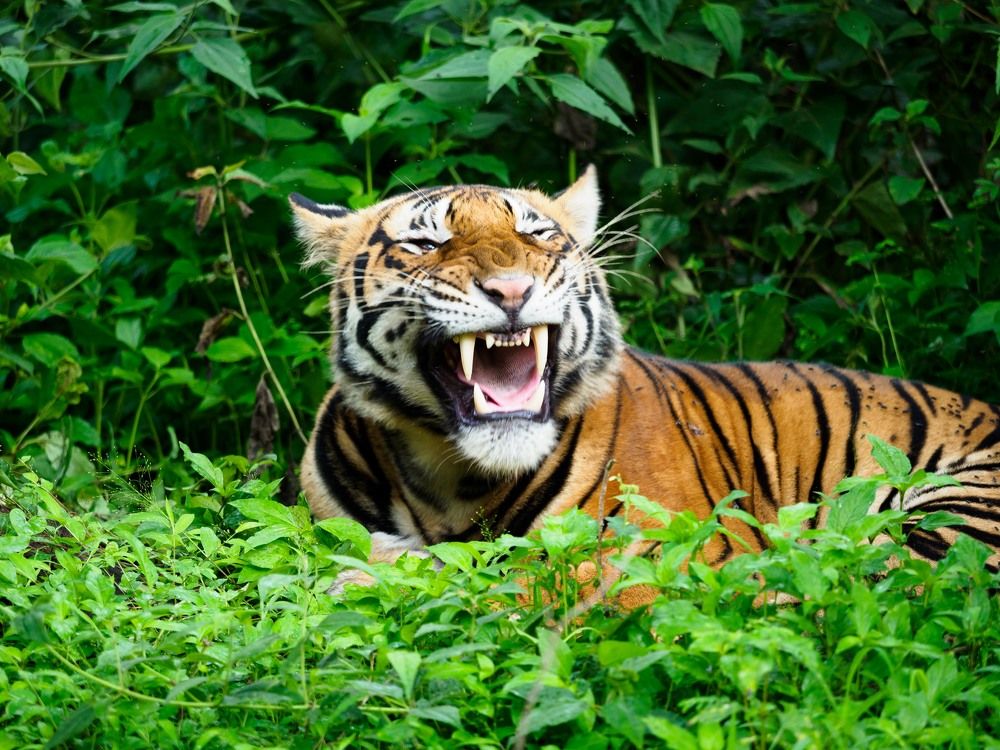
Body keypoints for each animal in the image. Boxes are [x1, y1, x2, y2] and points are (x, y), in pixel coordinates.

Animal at [289, 166, 1000, 588]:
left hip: (952, 515)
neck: (450, 478)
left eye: (538, 235)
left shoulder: (670, 550)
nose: (512, 290)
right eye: (426, 244)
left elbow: (523, 578)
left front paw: (381, 570)